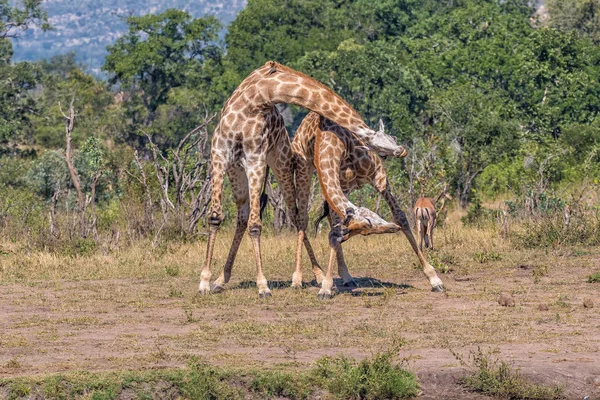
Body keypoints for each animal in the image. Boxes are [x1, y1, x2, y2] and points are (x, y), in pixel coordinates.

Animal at [199, 61, 406, 296]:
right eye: (390, 138)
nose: (401, 150)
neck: (259, 96)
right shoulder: (219, 154)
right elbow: (216, 217)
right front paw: (205, 282)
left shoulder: (255, 157)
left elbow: (255, 224)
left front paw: (262, 285)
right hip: (237, 170)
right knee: (244, 215)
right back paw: (221, 279)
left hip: (280, 164)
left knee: (293, 215)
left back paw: (316, 275)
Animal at [290, 111, 446, 298]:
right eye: (368, 225)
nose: (400, 150)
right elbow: (333, 231)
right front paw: (326, 287)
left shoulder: (379, 179)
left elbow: (401, 217)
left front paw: (434, 279)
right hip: (304, 170)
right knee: (302, 220)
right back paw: (300, 279)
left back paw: (345, 277)